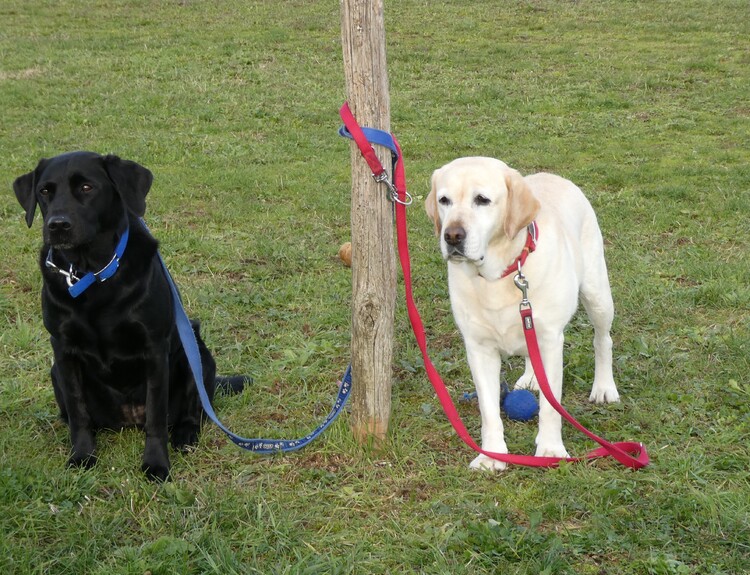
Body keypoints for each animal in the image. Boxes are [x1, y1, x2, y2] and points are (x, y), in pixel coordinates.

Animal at [13, 150, 244, 482]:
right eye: (45, 191)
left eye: (87, 188)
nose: (57, 225)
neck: (93, 274)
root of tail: (129, 418)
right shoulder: (63, 350)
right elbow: (79, 412)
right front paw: (82, 456)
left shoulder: (155, 348)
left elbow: (157, 416)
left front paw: (156, 464)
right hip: (55, 372)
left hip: (196, 352)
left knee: (190, 411)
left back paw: (185, 436)